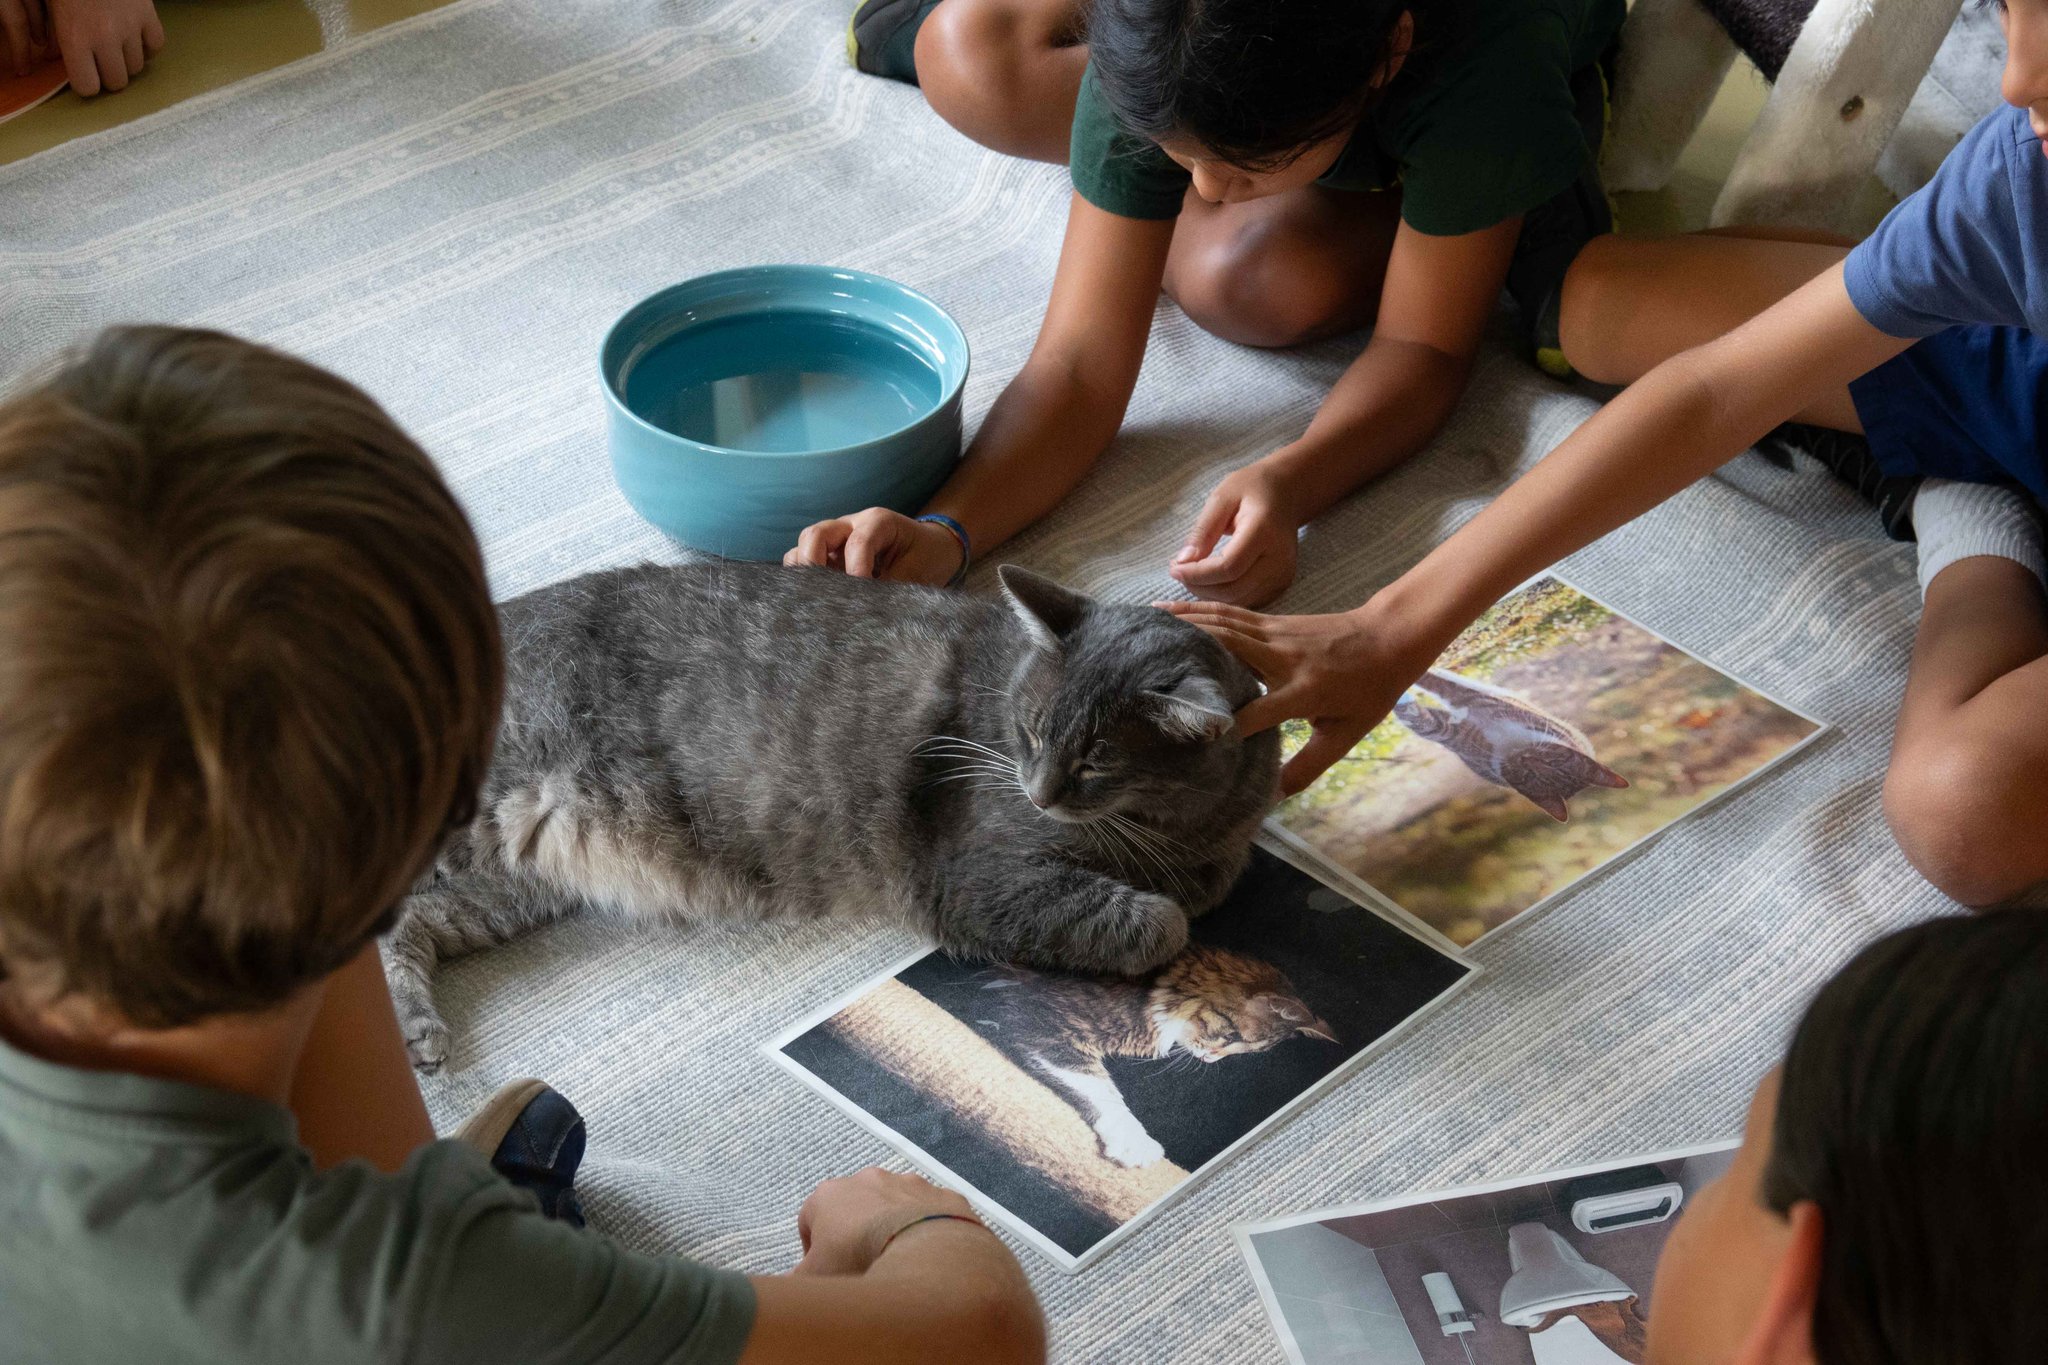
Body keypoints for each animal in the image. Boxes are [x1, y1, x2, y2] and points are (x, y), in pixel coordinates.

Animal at [384, 559, 1279, 1071]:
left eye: (1095, 759)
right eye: (1028, 730)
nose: (1038, 790)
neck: (1166, 827)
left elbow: (1214, 876)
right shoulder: (981, 880)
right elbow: (1158, 921)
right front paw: (1162, 908)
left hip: (512, 877)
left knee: (409, 928)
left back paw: (418, 1035)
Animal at [971, 945, 1336, 1168]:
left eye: (1246, 1051)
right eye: (1233, 1036)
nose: (1211, 1060)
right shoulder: (1045, 1018)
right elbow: (1100, 1088)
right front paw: (1136, 1142)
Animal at [1393, 667, 1629, 822]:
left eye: (1529, 775)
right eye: (1551, 761)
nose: (1525, 757)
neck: (1509, 743)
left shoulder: (1456, 732)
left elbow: (1429, 722)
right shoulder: (1471, 705)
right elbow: (1436, 686)